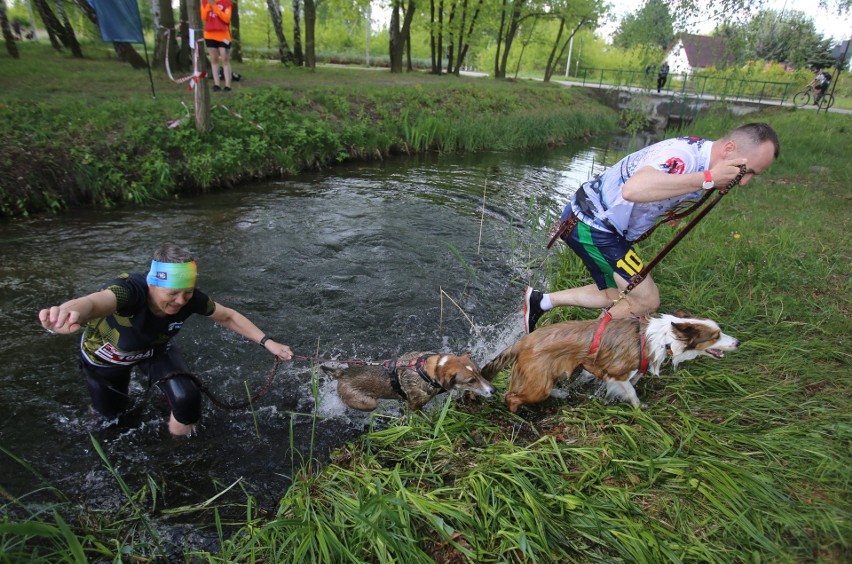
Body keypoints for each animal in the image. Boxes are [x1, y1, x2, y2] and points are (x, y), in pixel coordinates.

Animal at [322, 350, 496, 412]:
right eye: (471, 381)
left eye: (479, 373)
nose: (493, 390)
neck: (429, 370)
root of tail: (341, 373)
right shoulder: (415, 405)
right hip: (368, 403)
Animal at [480, 312, 740, 410]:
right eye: (715, 336)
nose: (738, 342)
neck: (662, 338)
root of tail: (523, 341)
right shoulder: (617, 372)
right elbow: (631, 391)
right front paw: (639, 408)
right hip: (537, 384)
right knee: (512, 396)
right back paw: (517, 411)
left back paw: (561, 393)